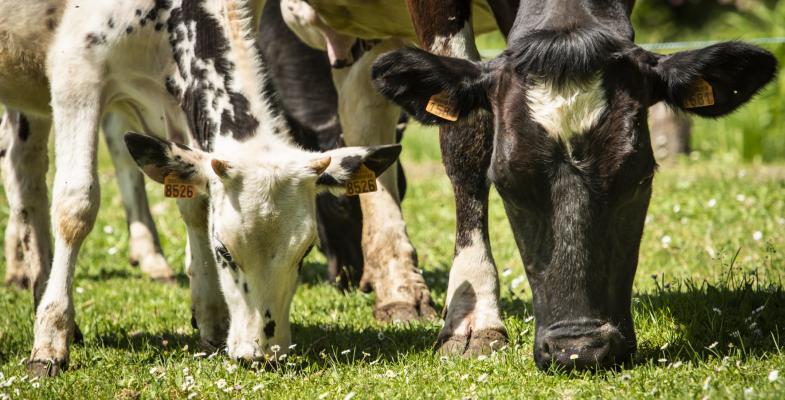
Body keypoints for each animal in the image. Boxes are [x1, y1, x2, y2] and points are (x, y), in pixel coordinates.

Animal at [0, 0, 403, 376]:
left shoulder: (177, 98)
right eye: (223, 250)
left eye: (304, 251)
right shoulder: (77, 73)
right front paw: (50, 341)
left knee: (24, 167)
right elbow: (76, 205)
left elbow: (195, 202)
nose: (262, 354)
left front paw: (210, 321)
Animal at [282, 0, 777, 370]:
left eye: (640, 177)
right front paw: (473, 319)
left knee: (364, 108)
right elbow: (467, 133)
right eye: (506, 183)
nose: (578, 349)